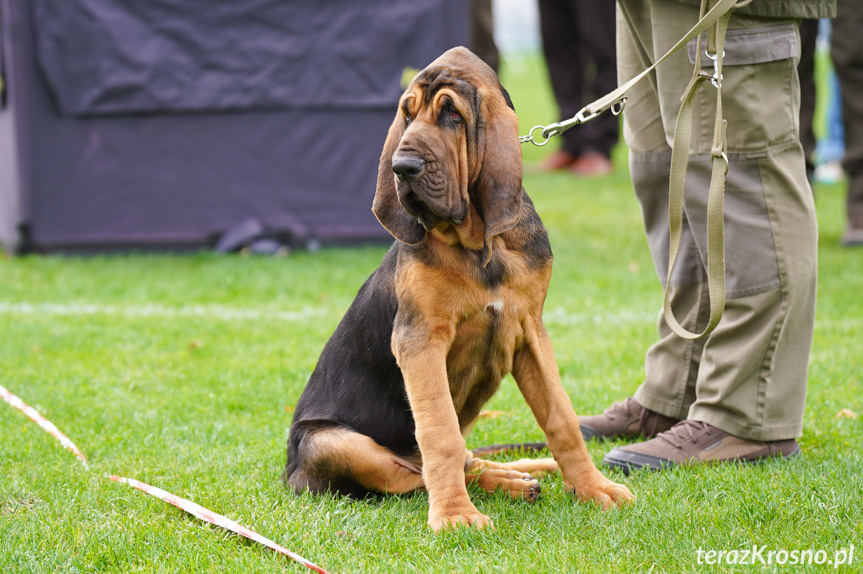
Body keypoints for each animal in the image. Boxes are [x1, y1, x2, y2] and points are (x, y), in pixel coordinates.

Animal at [286, 47, 636, 532]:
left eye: (452, 114)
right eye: (407, 113)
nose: (402, 167)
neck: (480, 245)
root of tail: (289, 472)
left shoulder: (531, 331)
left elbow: (562, 418)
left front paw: (594, 488)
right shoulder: (420, 339)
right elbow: (440, 433)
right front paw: (455, 515)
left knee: (466, 460)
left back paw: (526, 471)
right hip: (329, 444)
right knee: (416, 474)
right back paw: (505, 484)